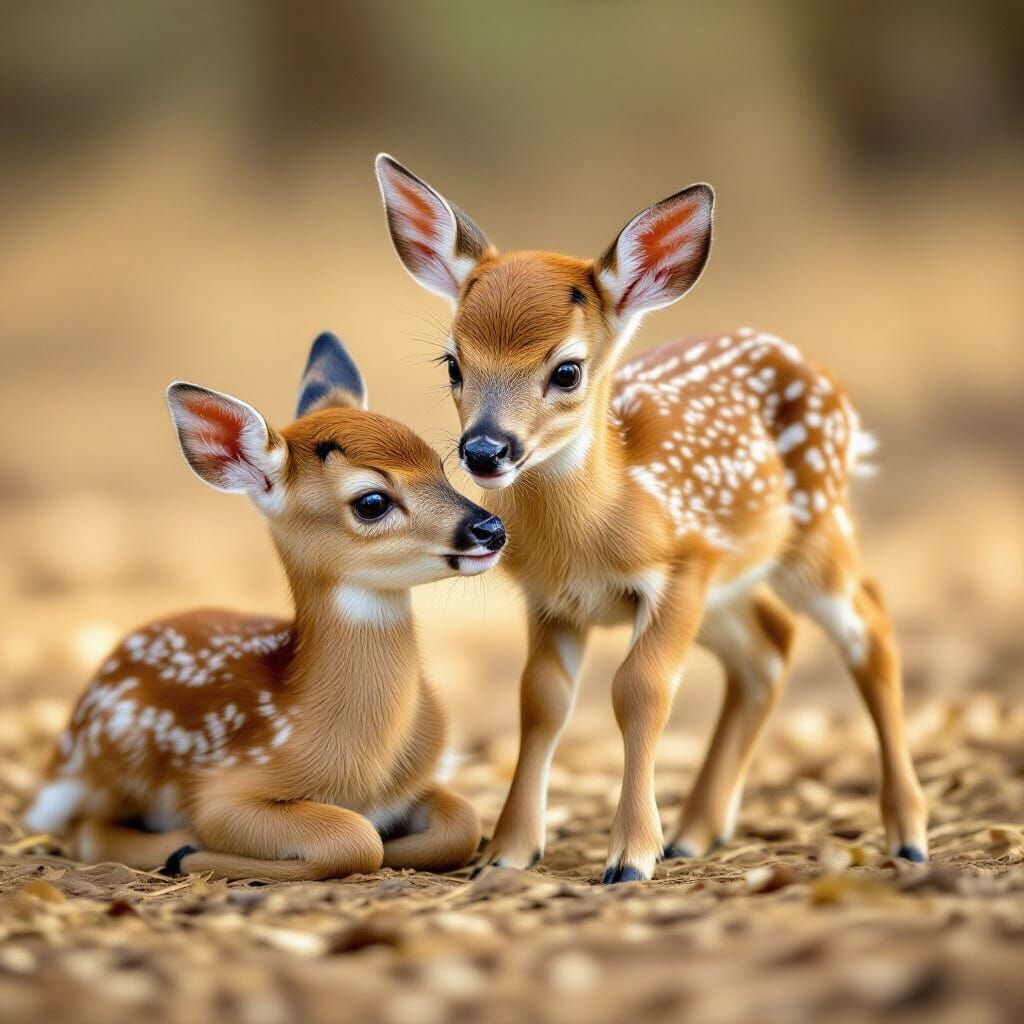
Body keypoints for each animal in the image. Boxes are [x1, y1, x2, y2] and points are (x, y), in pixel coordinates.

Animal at [22, 331, 506, 881]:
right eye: (372, 502)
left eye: (440, 466)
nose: (491, 529)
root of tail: (65, 746)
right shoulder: (225, 791)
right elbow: (353, 838)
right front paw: (191, 847)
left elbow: (462, 820)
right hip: (116, 756)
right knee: (88, 832)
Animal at [375, 154, 929, 883]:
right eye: (453, 362)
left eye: (567, 370)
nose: (486, 450)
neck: (596, 529)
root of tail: (826, 377)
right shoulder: (550, 600)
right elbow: (541, 700)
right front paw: (507, 853)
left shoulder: (680, 567)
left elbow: (639, 690)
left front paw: (631, 858)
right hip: (733, 582)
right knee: (769, 646)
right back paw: (697, 831)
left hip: (816, 531)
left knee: (871, 622)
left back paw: (909, 834)